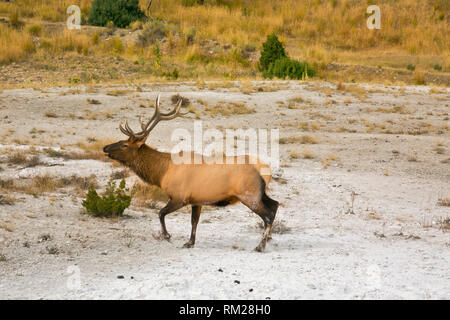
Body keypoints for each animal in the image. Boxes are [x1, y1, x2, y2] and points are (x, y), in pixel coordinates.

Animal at [103, 94, 278, 251]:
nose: (105, 147)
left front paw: (167, 236)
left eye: (125, 145)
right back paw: (268, 238)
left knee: (268, 215)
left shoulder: (180, 197)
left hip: (249, 194)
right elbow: (194, 221)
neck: (162, 173)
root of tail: (266, 171)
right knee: (275, 205)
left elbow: (160, 213)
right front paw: (189, 242)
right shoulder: (197, 200)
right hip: (259, 194)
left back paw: (260, 246)